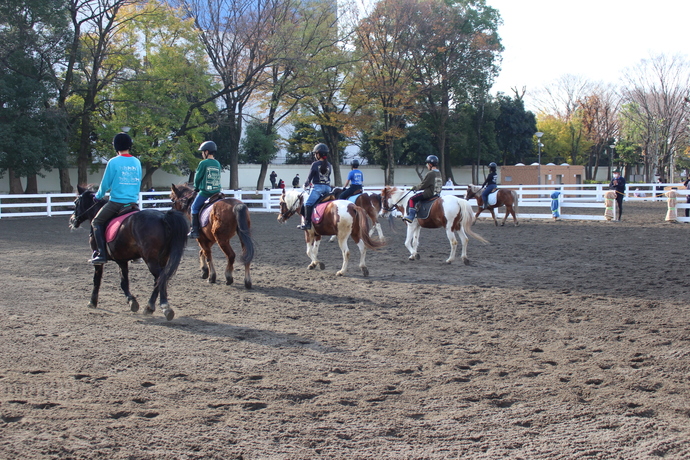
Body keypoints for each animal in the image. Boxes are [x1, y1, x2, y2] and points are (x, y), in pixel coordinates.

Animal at [69, 184, 188, 320]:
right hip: (162, 258)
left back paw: (165, 307)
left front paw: (92, 302)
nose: (72, 220)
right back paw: (149, 307)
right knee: (159, 280)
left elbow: (97, 280)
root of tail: (163, 217)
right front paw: (132, 302)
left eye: (76, 202)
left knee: (160, 278)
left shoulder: (99, 260)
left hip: (151, 260)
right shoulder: (121, 260)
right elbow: (124, 282)